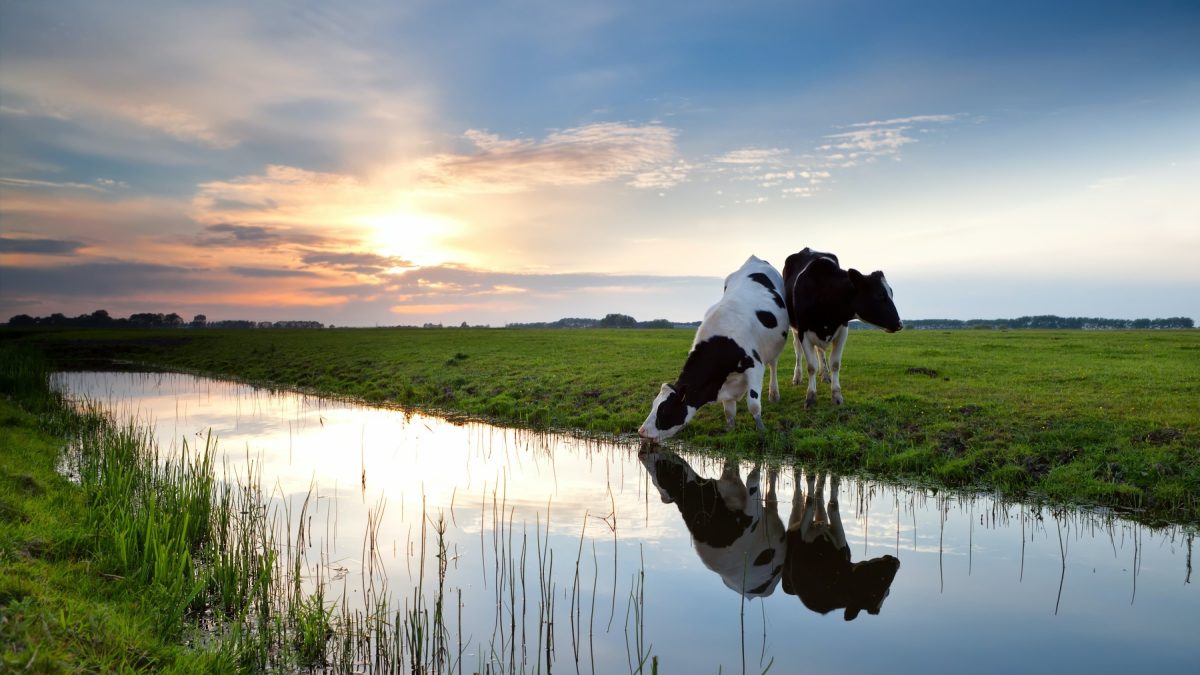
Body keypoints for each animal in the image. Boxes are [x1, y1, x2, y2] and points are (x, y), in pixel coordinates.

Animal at [638, 255, 789, 441]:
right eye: (653, 404)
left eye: (665, 410)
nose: (641, 431)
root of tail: (754, 259)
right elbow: (729, 412)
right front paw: (729, 430)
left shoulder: (754, 366)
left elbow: (753, 404)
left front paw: (761, 430)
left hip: (774, 347)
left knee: (773, 364)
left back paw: (774, 394)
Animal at [782, 247, 902, 408]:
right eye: (879, 295)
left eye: (891, 293)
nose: (899, 324)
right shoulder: (803, 331)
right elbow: (811, 366)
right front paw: (810, 397)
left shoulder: (842, 331)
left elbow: (835, 364)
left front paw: (836, 395)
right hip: (795, 328)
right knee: (798, 350)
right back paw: (797, 377)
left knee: (820, 351)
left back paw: (825, 375)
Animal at [782, 471, 900, 620]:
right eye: (879, 586)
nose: (896, 562)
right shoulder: (802, 534)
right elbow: (814, 502)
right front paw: (811, 477)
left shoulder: (839, 540)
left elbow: (830, 503)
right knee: (799, 495)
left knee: (818, 496)